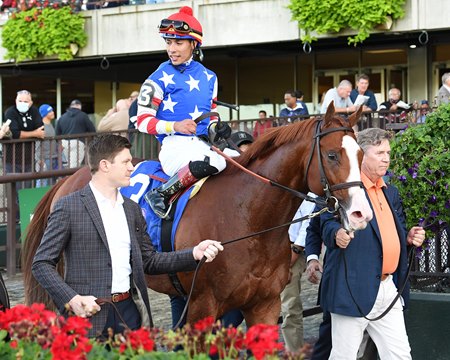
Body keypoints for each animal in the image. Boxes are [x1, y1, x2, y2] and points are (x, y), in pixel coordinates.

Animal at [21, 103, 372, 326]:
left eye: (361, 154)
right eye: (331, 154)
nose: (360, 214)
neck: (249, 217)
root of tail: (67, 180)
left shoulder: (264, 306)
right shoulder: (203, 306)